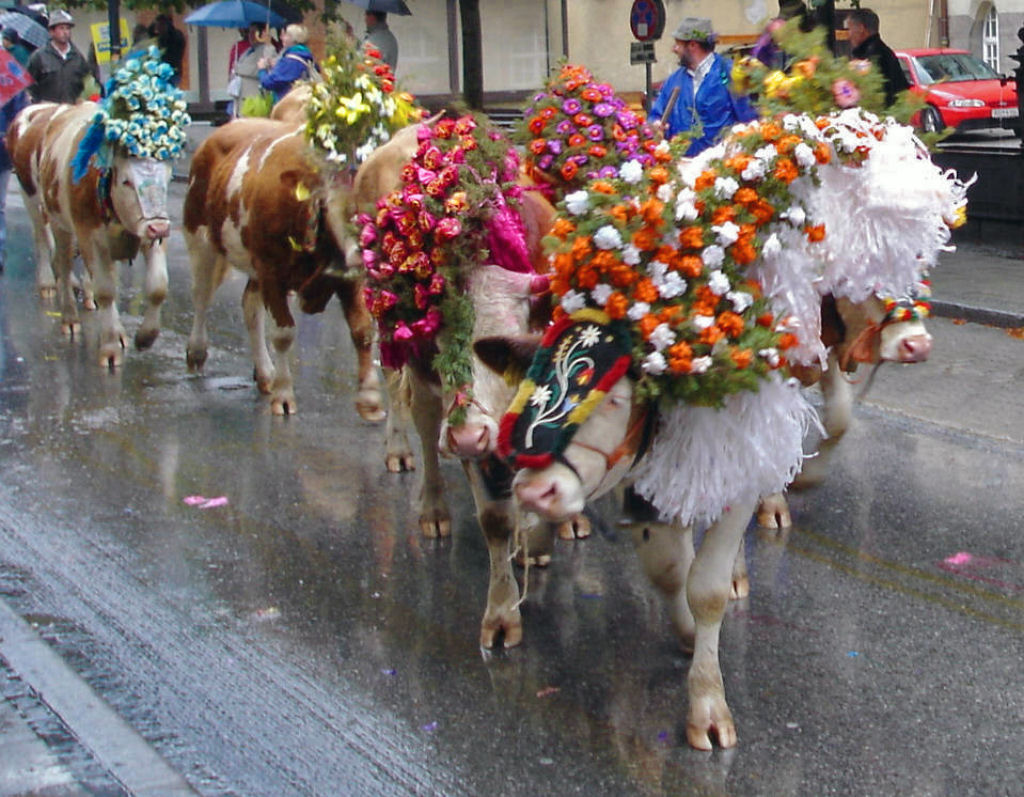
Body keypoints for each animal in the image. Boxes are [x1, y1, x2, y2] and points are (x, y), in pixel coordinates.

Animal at [7, 100, 172, 368]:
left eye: (167, 177)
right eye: (126, 181)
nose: (159, 227)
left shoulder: (148, 237)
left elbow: (158, 287)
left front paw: (145, 337)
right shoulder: (89, 236)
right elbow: (106, 291)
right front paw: (110, 346)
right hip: (40, 206)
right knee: (53, 253)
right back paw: (62, 306)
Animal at [180, 117, 385, 420]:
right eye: (342, 204)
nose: (367, 249)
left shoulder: (349, 279)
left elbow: (362, 331)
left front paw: (370, 400)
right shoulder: (271, 272)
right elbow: (283, 334)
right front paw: (284, 395)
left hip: (251, 264)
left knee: (250, 308)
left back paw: (265, 373)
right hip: (200, 236)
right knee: (201, 295)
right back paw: (196, 352)